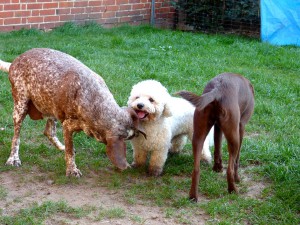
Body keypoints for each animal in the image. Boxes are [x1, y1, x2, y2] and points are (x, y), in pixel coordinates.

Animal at [177, 73, 254, 201]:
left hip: (198, 135)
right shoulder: (241, 126)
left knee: (196, 169)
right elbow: (237, 159)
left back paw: (193, 197)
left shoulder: (217, 127)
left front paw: (217, 168)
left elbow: (217, 148)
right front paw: (237, 178)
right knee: (230, 169)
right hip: (234, 137)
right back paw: (233, 190)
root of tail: (217, 90)